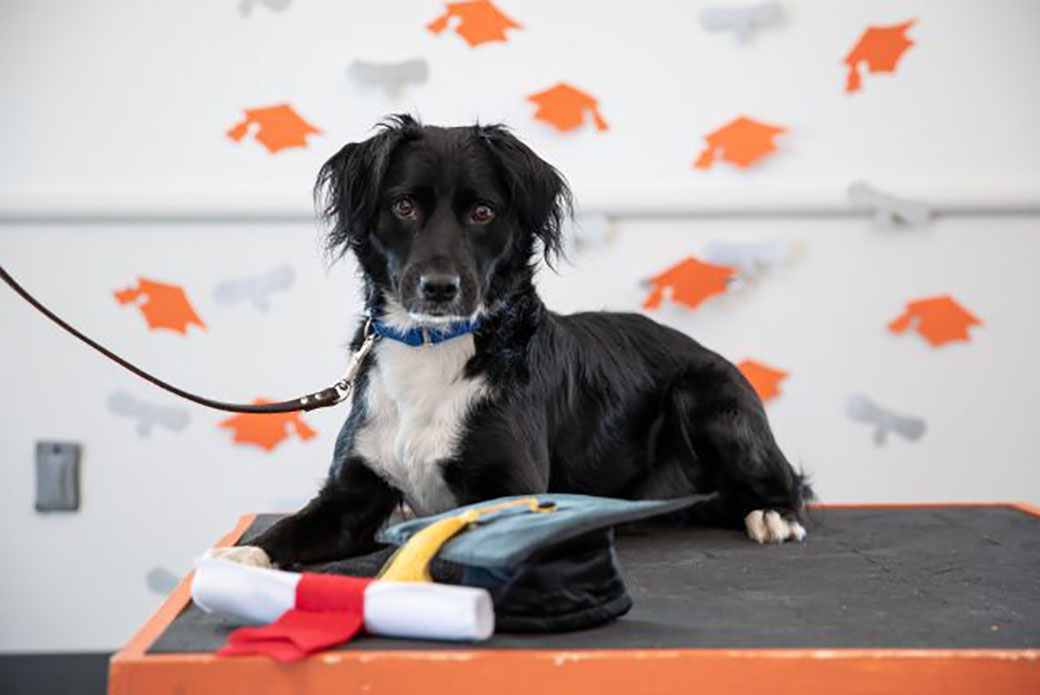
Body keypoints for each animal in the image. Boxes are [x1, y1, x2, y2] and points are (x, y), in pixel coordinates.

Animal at [213, 115, 811, 570]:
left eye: (482, 212)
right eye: (404, 206)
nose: (439, 287)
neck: (433, 346)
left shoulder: (514, 489)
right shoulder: (352, 492)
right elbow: (293, 529)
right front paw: (243, 557)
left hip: (707, 397)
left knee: (790, 484)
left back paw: (773, 515)